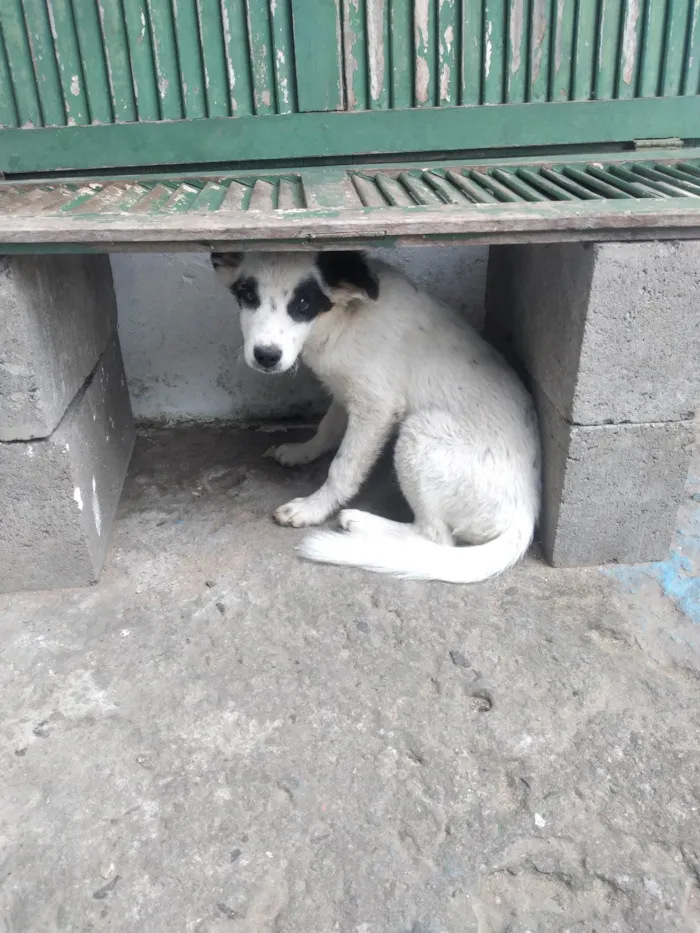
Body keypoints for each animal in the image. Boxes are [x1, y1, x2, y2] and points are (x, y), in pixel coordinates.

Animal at [213, 248, 540, 584]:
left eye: (303, 302)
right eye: (247, 295)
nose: (266, 356)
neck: (341, 319)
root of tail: (525, 516)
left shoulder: (376, 407)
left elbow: (343, 468)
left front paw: (314, 508)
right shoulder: (345, 390)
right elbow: (327, 428)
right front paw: (301, 451)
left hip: (420, 433)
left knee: (435, 536)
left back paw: (361, 523)